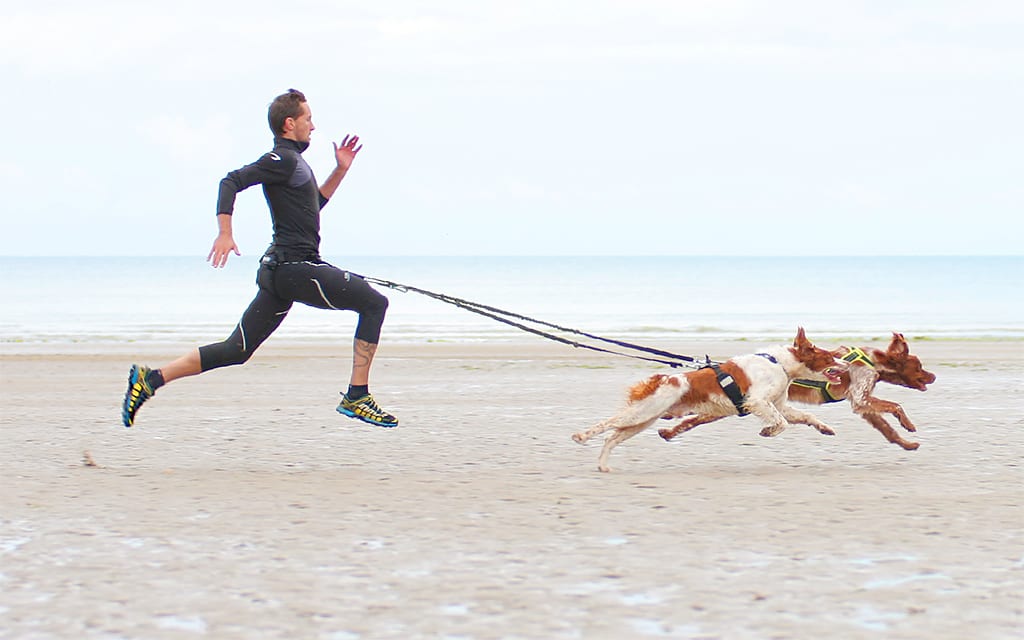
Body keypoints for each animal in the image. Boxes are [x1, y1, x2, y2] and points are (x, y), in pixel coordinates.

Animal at [573, 329, 843, 468]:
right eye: (829, 358)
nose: (844, 364)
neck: (780, 364)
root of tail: (663, 379)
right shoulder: (758, 401)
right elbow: (781, 423)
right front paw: (768, 431)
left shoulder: (777, 405)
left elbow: (803, 416)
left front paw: (824, 428)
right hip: (642, 413)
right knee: (606, 425)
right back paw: (581, 436)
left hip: (643, 420)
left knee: (611, 437)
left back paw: (603, 465)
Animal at [782, 331, 937, 446]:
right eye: (919, 367)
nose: (935, 376)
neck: (874, 362)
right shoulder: (861, 398)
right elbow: (896, 405)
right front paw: (907, 423)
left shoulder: (864, 405)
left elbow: (888, 429)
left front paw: (907, 444)